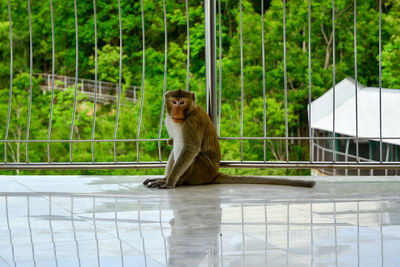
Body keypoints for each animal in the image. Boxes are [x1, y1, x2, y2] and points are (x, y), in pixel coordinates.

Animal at [144, 90, 316, 191]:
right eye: (174, 102)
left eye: (182, 102)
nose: (177, 111)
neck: (187, 114)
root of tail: (214, 174)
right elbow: (174, 143)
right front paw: (166, 176)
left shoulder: (192, 122)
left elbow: (190, 149)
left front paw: (170, 182)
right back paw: (164, 177)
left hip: (202, 172)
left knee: (193, 156)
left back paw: (176, 181)